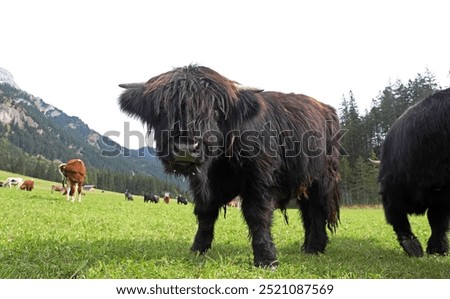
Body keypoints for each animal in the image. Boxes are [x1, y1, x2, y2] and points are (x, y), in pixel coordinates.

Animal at [118, 64, 342, 268]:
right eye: (162, 109)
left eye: (215, 110)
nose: (185, 148)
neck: (217, 163)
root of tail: (328, 110)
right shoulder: (201, 184)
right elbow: (205, 213)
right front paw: (198, 248)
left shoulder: (258, 179)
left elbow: (257, 215)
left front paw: (267, 259)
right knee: (307, 213)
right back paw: (308, 247)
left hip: (322, 181)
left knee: (317, 210)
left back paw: (315, 248)